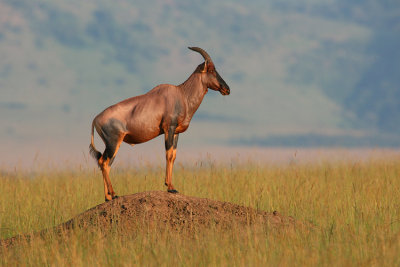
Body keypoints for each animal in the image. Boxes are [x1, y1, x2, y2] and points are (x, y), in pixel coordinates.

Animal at [89, 47, 230, 202]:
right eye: (211, 69)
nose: (227, 89)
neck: (181, 94)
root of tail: (95, 119)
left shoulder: (176, 132)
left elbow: (173, 156)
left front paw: (171, 185)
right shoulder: (169, 128)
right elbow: (168, 154)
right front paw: (170, 187)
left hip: (112, 145)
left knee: (103, 162)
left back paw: (108, 197)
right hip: (114, 142)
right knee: (104, 163)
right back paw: (114, 194)